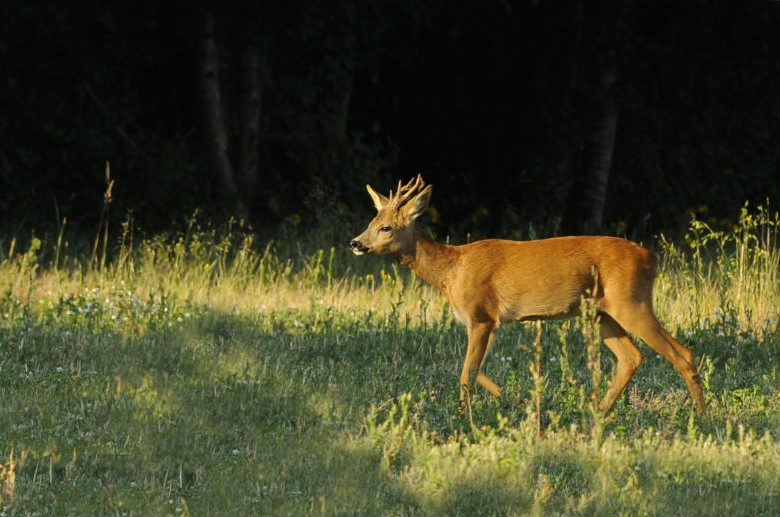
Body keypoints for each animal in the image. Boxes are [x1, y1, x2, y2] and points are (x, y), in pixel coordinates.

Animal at [352, 175, 708, 414]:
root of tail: (652, 258)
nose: (356, 243)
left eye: (386, 227)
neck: (451, 271)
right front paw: (507, 397)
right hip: (601, 312)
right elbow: (475, 368)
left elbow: (466, 371)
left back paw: (702, 415)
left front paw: (464, 414)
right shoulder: (492, 322)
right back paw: (597, 413)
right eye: (371, 220)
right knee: (631, 357)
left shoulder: (481, 315)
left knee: (682, 353)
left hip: (631, 301)